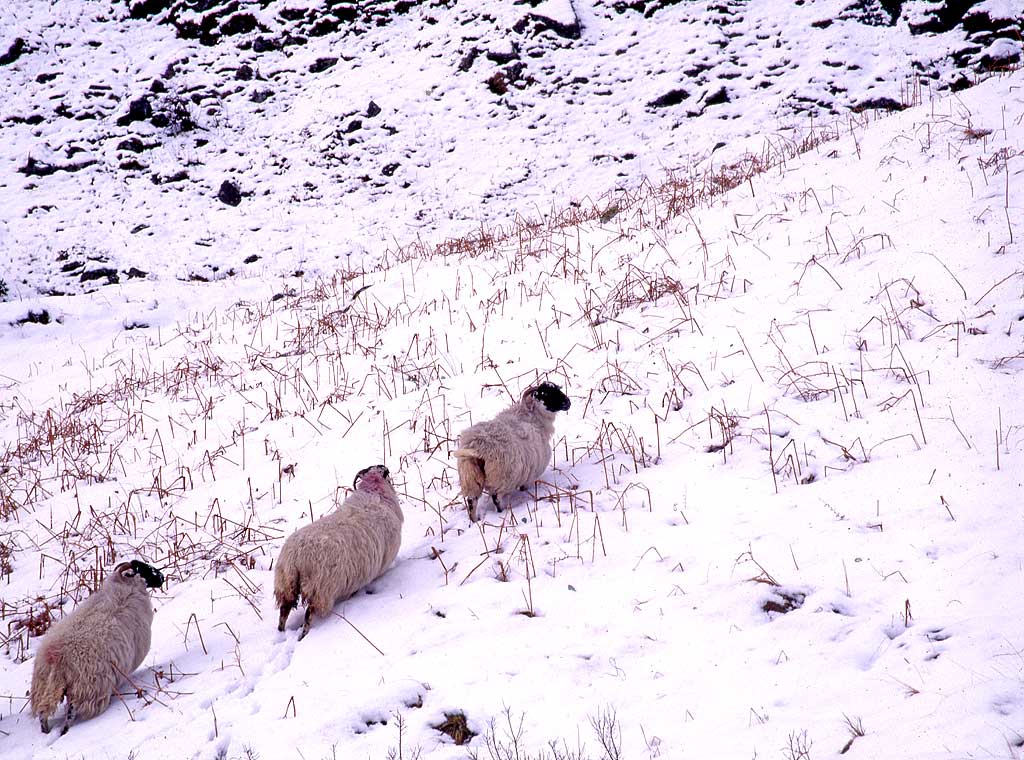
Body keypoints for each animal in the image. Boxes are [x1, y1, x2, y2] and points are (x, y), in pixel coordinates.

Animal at [30, 561, 163, 733]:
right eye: (144, 568)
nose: (162, 577)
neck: (127, 589)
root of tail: (55, 656)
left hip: (44, 686)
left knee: (43, 714)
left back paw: (46, 731)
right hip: (86, 687)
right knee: (71, 712)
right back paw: (65, 730)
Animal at [276, 467, 403, 639]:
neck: (375, 493)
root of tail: (296, 557)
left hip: (286, 585)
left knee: (283, 612)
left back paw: (281, 634)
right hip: (320, 590)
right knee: (308, 616)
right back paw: (304, 635)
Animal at [452, 381, 573, 524]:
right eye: (547, 394)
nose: (568, 402)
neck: (534, 419)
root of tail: (477, 447)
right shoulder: (529, 472)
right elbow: (524, 487)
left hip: (470, 477)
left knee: (471, 502)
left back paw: (474, 520)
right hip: (501, 478)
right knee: (496, 499)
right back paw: (501, 511)